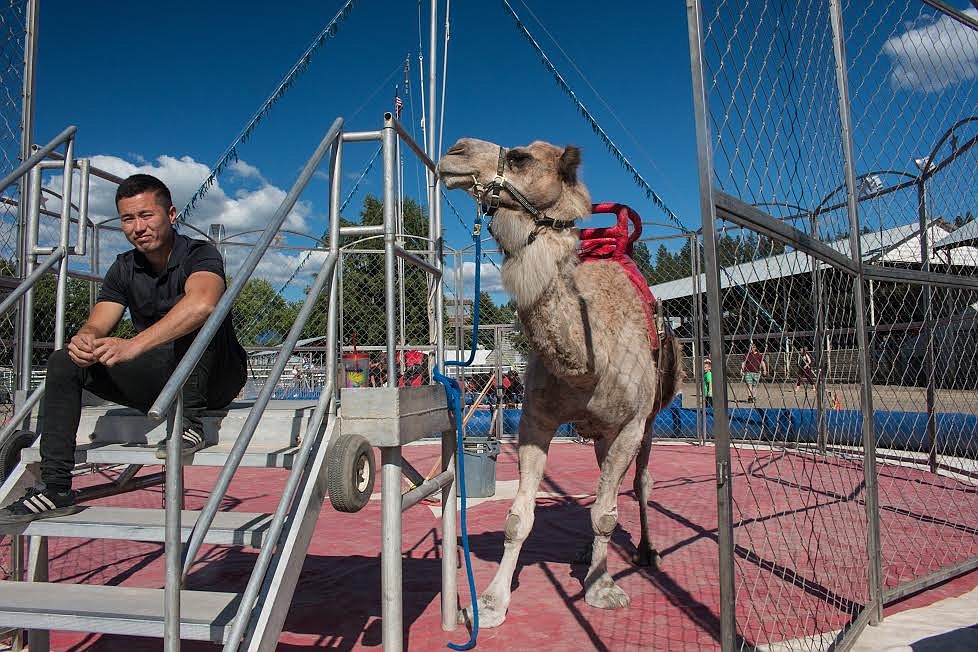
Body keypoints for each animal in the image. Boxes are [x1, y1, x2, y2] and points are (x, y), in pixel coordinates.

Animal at [438, 139, 684, 628]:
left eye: (519, 157)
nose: (453, 152)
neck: (589, 359)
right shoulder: (536, 420)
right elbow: (520, 517)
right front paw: (491, 603)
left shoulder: (630, 424)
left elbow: (607, 513)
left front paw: (601, 588)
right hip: (600, 433)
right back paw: (586, 554)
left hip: (648, 421)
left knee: (640, 484)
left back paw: (647, 552)